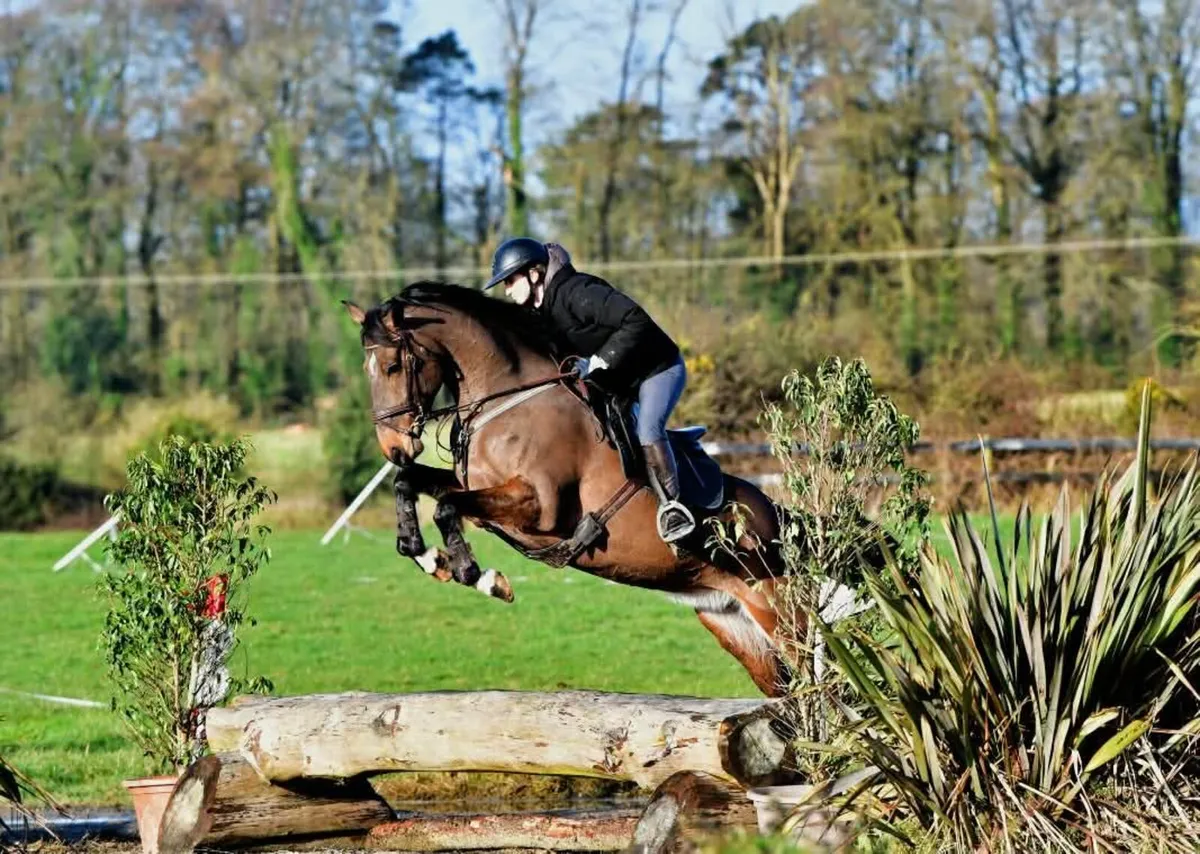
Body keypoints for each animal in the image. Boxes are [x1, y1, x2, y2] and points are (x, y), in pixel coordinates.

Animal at [343, 281, 798, 697]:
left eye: (392, 367)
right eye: (367, 371)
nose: (394, 448)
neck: (507, 400)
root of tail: (786, 520)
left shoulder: (540, 506)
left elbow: (446, 507)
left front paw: (477, 574)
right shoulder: (480, 489)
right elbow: (412, 485)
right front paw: (427, 556)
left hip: (785, 617)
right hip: (738, 631)